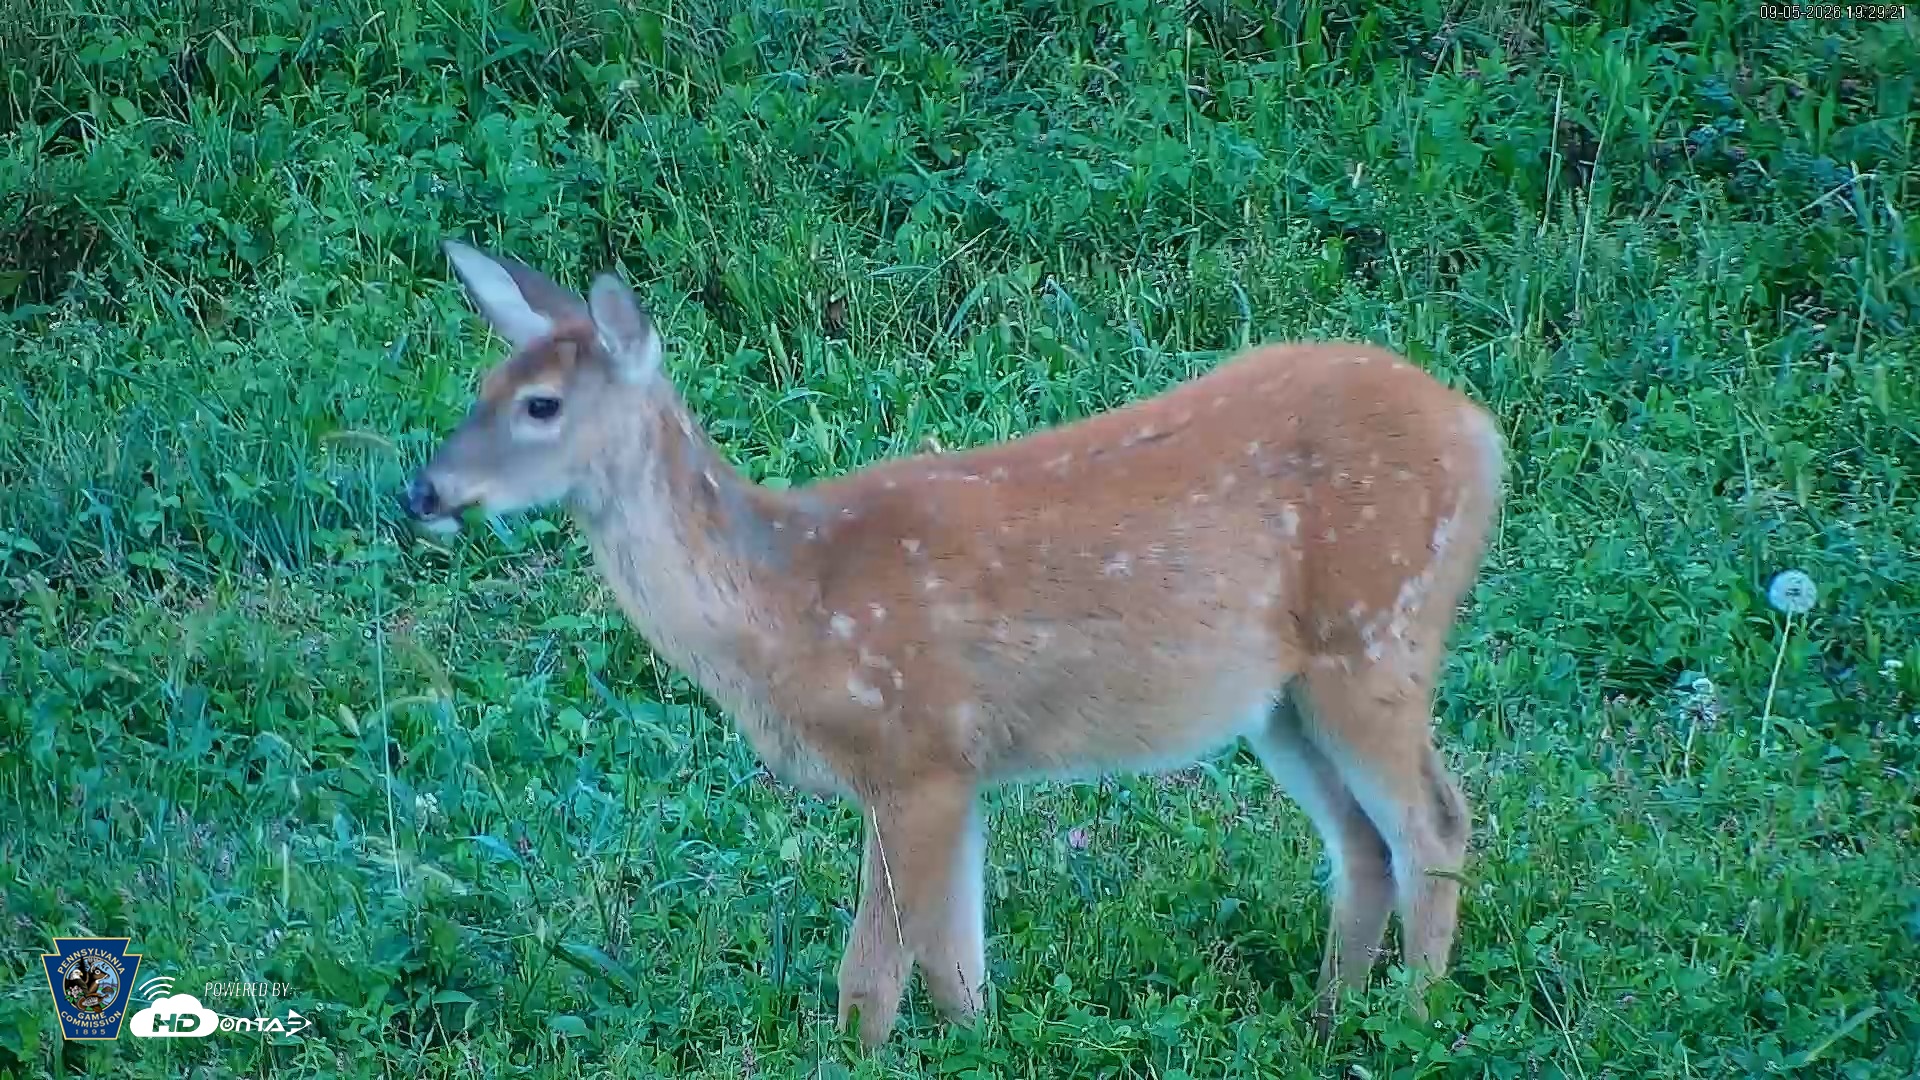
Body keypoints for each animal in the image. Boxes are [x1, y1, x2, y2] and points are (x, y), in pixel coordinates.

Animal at [402, 241, 1506, 1047]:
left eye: (542, 405)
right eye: (482, 383)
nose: (422, 490)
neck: (789, 606)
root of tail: (1481, 432)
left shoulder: (916, 751)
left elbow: (872, 979)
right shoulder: (959, 771)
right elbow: (958, 966)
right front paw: (990, 1047)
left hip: (1377, 634)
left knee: (1435, 823)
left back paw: (1414, 1021)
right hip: (1280, 697)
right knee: (1361, 840)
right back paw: (1328, 1018)